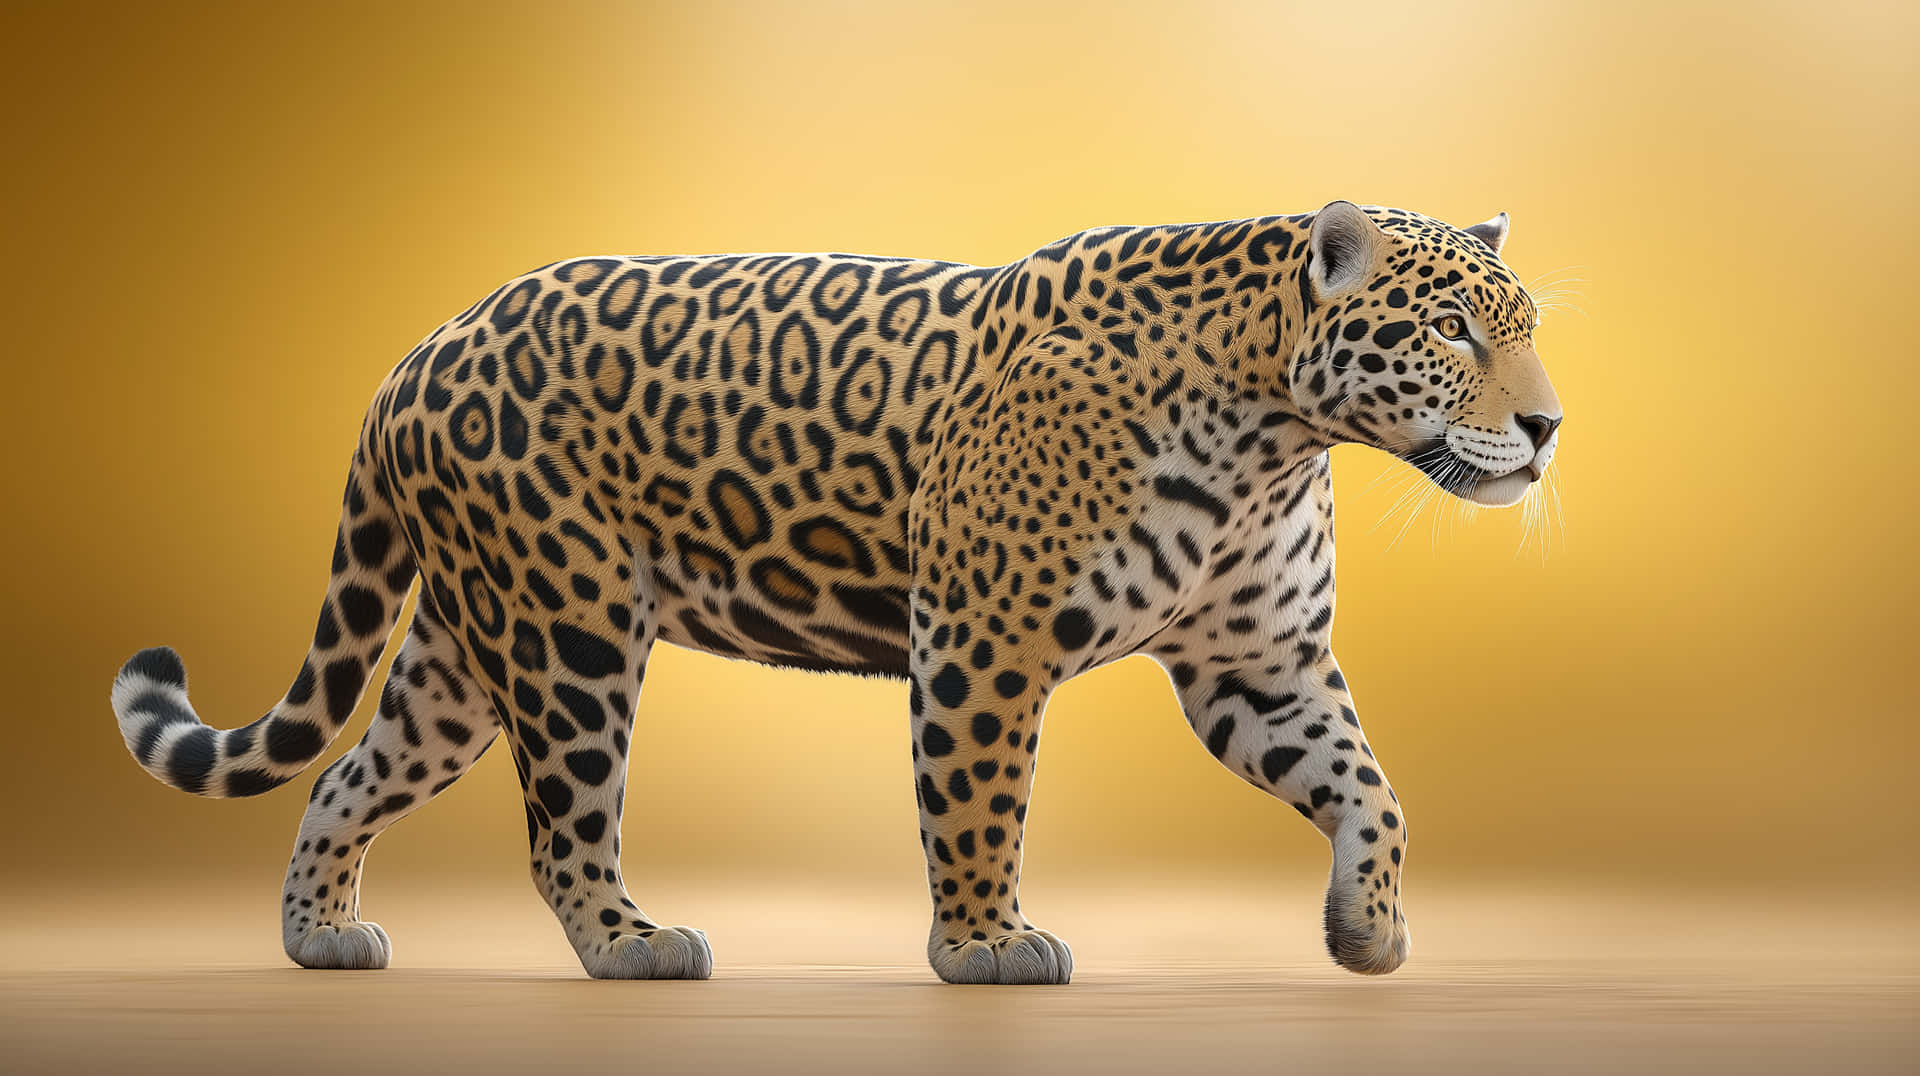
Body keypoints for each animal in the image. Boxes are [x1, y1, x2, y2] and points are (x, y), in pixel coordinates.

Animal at [111, 201, 1563, 984]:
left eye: (1525, 326)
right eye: (1450, 330)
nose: (1549, 429)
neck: (1275, 427)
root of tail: (418, 349)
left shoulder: (1259, 666)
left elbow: (1372, 789)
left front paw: (1369, 932)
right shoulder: (986, 636)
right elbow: (979, 802)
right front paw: (985, 947)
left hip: (469, 650)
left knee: (349, 770)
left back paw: (322, 935)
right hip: (568, 629)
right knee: (564, 822)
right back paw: (634, 943)